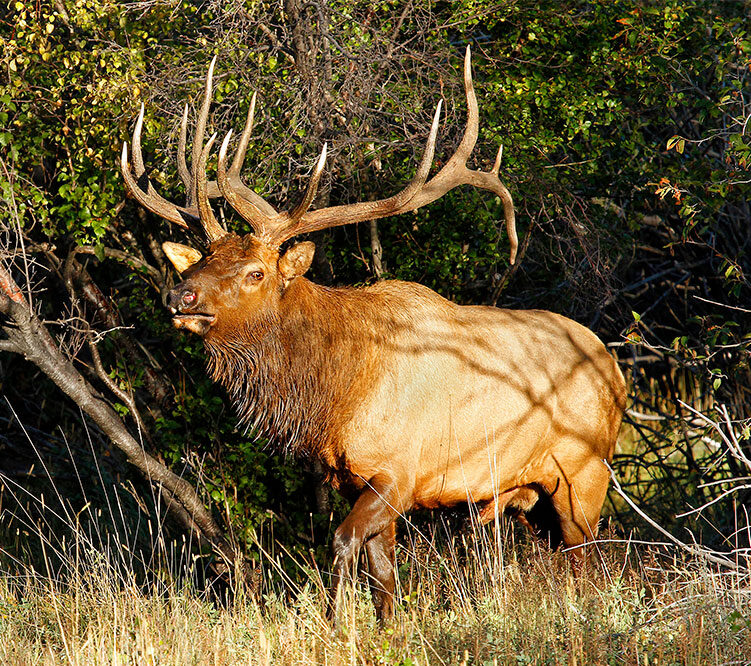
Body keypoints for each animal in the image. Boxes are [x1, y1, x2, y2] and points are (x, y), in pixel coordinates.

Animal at [122, 48, 628, 624]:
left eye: (256, 272)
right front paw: (384, 626)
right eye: (203, 258)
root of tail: (615, 371)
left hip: (585, 472)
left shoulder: (400, 471)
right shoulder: (355, 479)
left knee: (593, 560)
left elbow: (342, 543)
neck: (333, 396)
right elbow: (383, 573)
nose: (179, 295)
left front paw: (336, 622)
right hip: (535, 496)